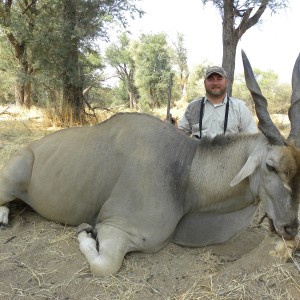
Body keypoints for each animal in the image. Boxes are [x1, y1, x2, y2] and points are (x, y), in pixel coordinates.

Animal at [0, 49, 300, 276]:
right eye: (270, 166)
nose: (291, 228)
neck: (187, 171)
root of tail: (28, 149)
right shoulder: (118, 228)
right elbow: (104, 265)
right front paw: (85, 231)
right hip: (11, 179)